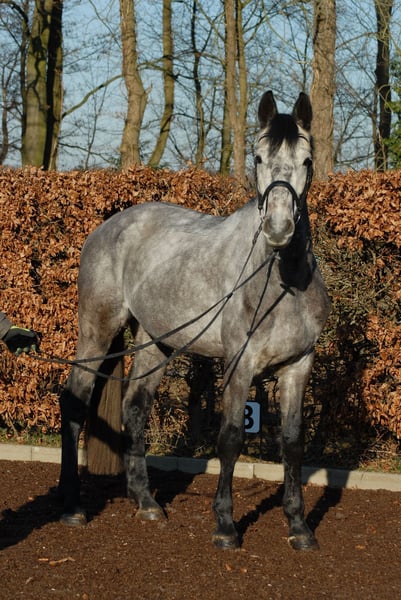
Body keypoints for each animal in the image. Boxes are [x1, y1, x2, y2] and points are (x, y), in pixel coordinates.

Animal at [58, 91, 330, 551]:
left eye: (307, 160)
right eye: (258, 157)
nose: (278, 228)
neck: (282, 281)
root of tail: (108, 227)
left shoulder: (298, 365)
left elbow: (292, 443)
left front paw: (299, 527)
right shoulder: (239, 365)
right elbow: (231, 438)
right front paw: (225, 527)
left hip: (155, 342)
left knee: (135, 409)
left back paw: (146, 502)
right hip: (96, 332)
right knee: (74, 403)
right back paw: (72, 507)